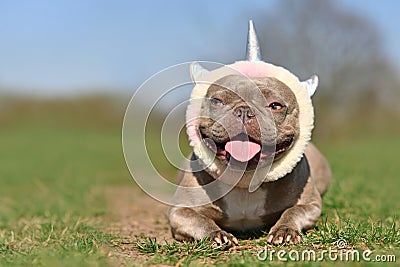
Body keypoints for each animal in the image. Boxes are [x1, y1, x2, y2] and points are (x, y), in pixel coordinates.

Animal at [169, 20, 332, 247]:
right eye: (217, 101)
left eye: (275, 105)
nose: (244, 111)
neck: (244, 182)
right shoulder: (180, 212)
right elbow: (198, 220)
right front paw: (216, 234)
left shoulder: (311, 205)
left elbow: (294, 211)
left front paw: (285, 230)